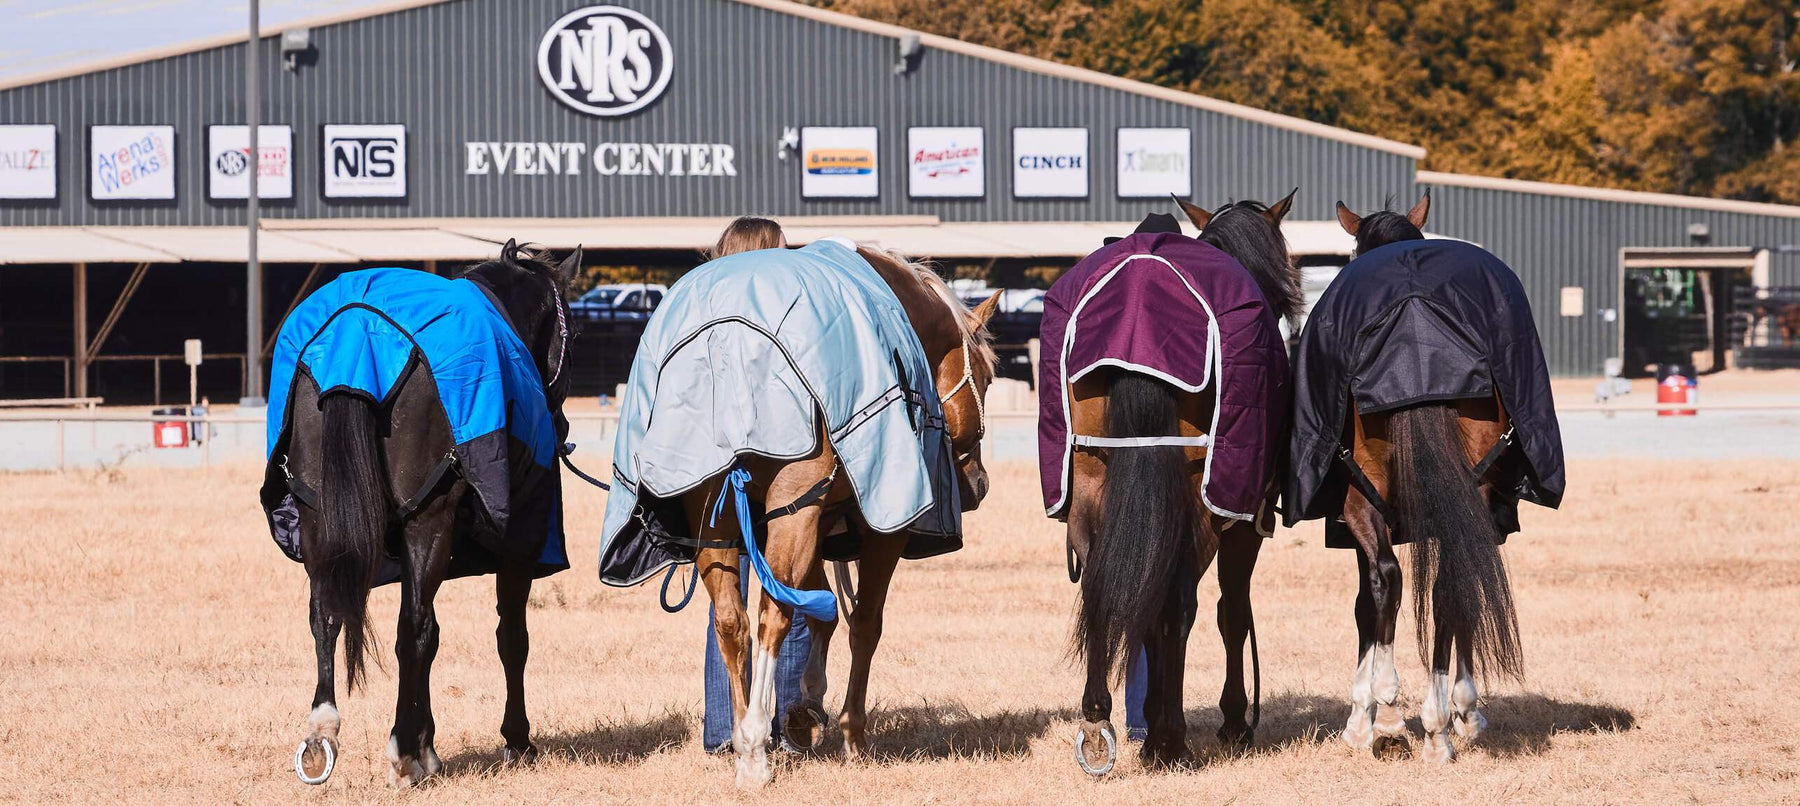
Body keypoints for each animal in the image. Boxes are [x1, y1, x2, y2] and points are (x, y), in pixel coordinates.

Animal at [261, 244, 576, 788]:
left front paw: (429, 742)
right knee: (414, 631)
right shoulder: (515, 544)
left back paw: (323, 733)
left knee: (326, 618)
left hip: (319, 517)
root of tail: (355, 341)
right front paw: (515, 739)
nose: (563, 426)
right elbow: (509, 638)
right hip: (426, 523)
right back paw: (403, 752)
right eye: (572, 334)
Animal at [1044, 190, 1310, 773]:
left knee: (1105, 590)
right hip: (1199, 509)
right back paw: (1171, 737)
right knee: (1179, 608)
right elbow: (1232, 613)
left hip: (1092, 494)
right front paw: (1231, 719)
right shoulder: (1242, 527)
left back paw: (1098, 721)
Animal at [1296, 197, 1562, 762]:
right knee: (1450, 584)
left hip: (1362, 499)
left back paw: (1396, 709)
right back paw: (1436, 726)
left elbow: (1366, 602)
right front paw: (1458, 709)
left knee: (1389, 580)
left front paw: (1366, 714)